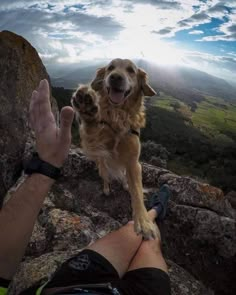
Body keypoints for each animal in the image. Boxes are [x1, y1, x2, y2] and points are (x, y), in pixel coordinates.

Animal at [71, 58, 157, 240]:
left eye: (131, 70)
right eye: (110, 68)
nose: (115, 77)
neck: (119, 115)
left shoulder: (133, 162)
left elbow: (137, 192)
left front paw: (144, 222)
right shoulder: (96, 143)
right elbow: (91, 128)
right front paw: (87, 109)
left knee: (125, 178)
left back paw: (125, 184)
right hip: (102, 165)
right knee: (105, 177)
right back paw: (106, 189)